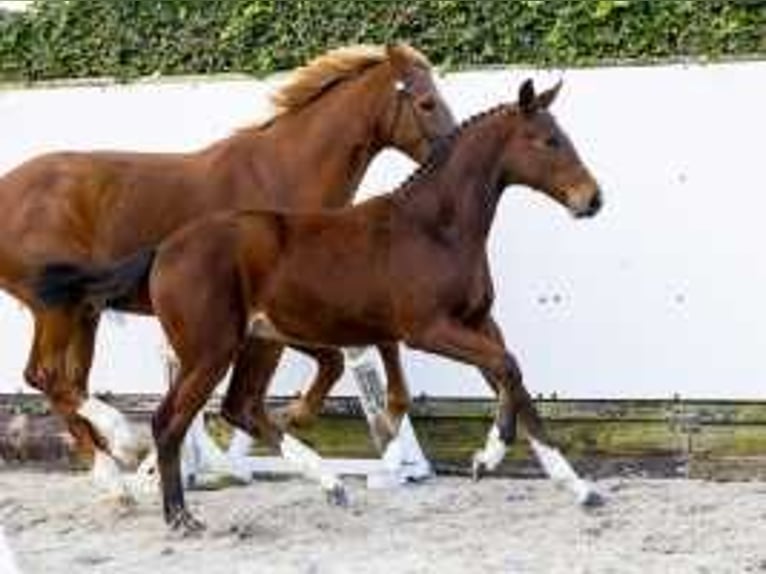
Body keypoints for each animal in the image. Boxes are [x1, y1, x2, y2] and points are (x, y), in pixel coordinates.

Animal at [0, 44, 456, 496]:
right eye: (426, 103)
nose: (451, 152)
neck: (283, 175)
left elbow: (369, 346)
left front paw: (381, 414)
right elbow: (303, 375)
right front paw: (301, 418)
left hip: (83, 311)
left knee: (70, 381)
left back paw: (116, 472)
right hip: (55, 309)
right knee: (45, 375)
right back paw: (120, 447)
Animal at [34, 79, 608, 532]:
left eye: (564, 136)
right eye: (548, 141)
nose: (592, 199)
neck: (435, 228)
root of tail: (164, 248)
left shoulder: (478, 321)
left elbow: (515, 381)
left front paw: (579, 488)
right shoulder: (427, 328)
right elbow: (506, 368)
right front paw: (487, 457)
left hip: (254, 342)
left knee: (239, 407)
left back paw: (329, 483)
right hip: (210, 349)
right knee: (168, 420)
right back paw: (180, 516)